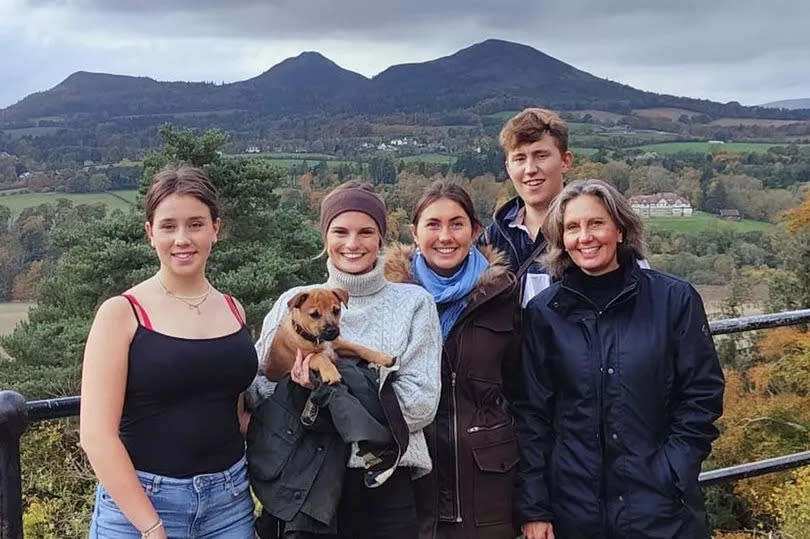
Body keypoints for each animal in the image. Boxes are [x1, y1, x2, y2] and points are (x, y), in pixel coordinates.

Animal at [266, 286, 394, 384]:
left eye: (336, 310)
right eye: (314, 314)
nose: (332, 330)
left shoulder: (339, 345)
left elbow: (360, 348)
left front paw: (384, 358)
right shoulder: (302, 360)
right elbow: (319, 356)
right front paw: (331, 374)